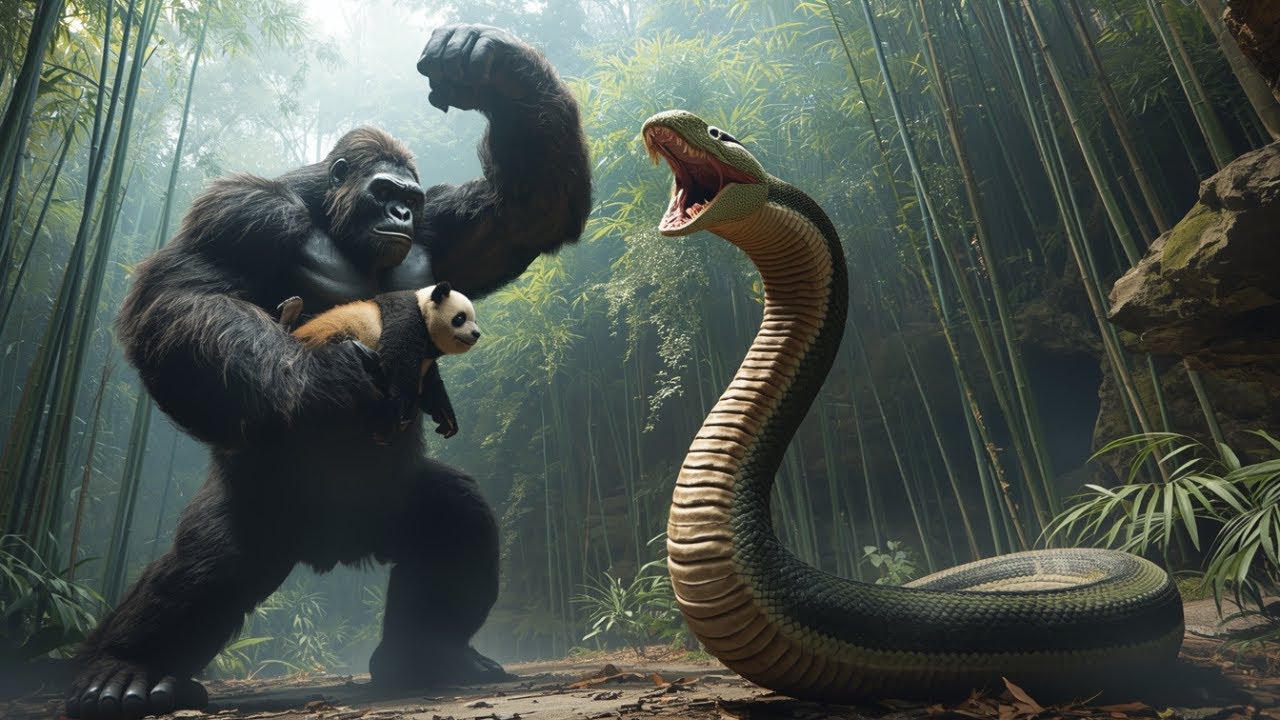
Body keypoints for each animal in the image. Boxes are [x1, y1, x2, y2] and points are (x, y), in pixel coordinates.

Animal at [285, 281, 480, 440]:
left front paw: (446, 420)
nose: (476, 334)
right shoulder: (407, 319)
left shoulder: (426, 358)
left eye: (475, 320)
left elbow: (430, 385)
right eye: (460, 318)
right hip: (325, 342)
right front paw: (398, 417)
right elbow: (398, 364)